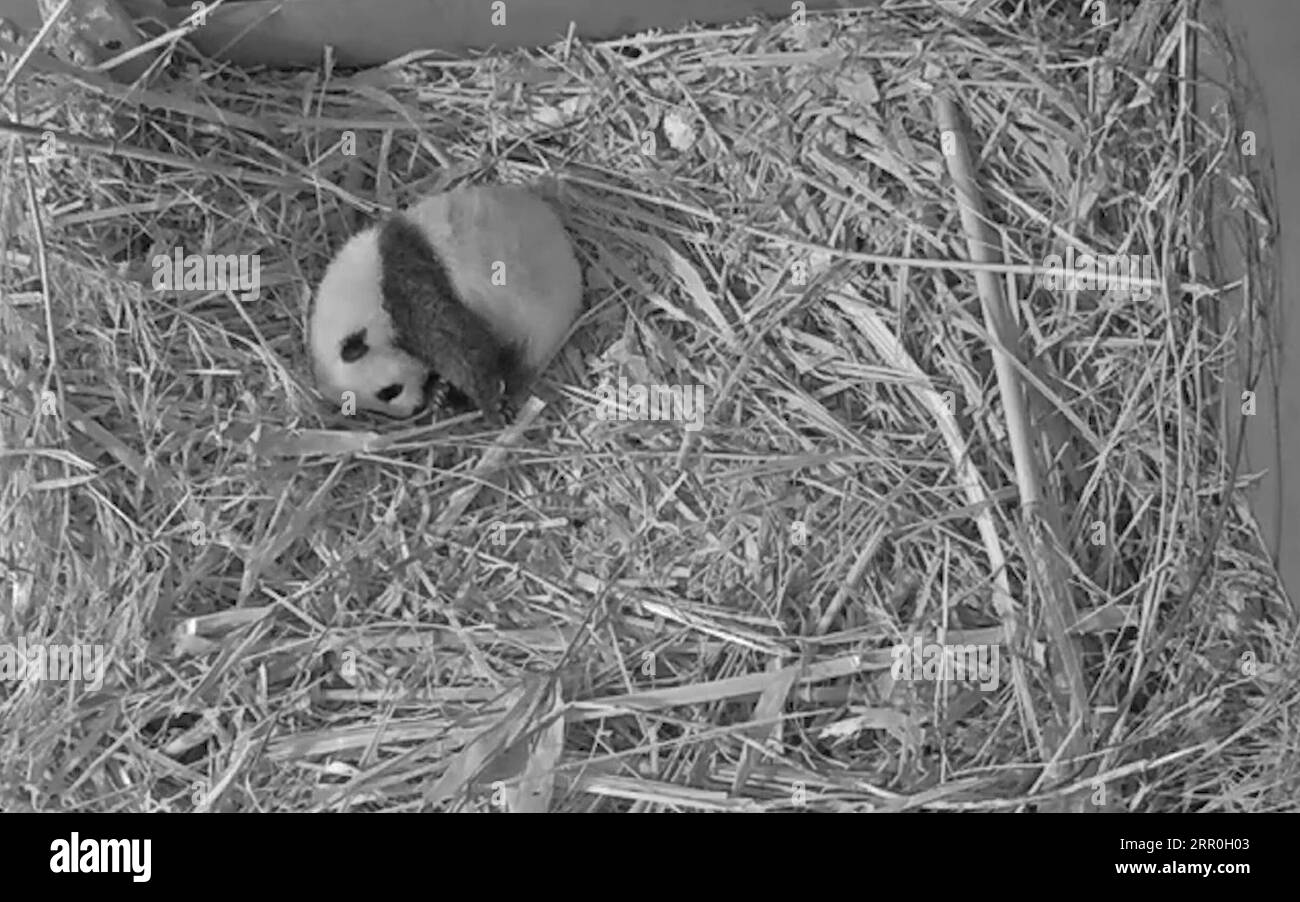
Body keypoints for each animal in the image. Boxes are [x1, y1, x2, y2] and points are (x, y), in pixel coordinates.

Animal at [308, 185, 584, 423]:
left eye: (389, 391)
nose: (415, 408)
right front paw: (440, 394)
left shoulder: (409, 288)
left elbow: (458, 347)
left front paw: (490, 405)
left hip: (537, 313)